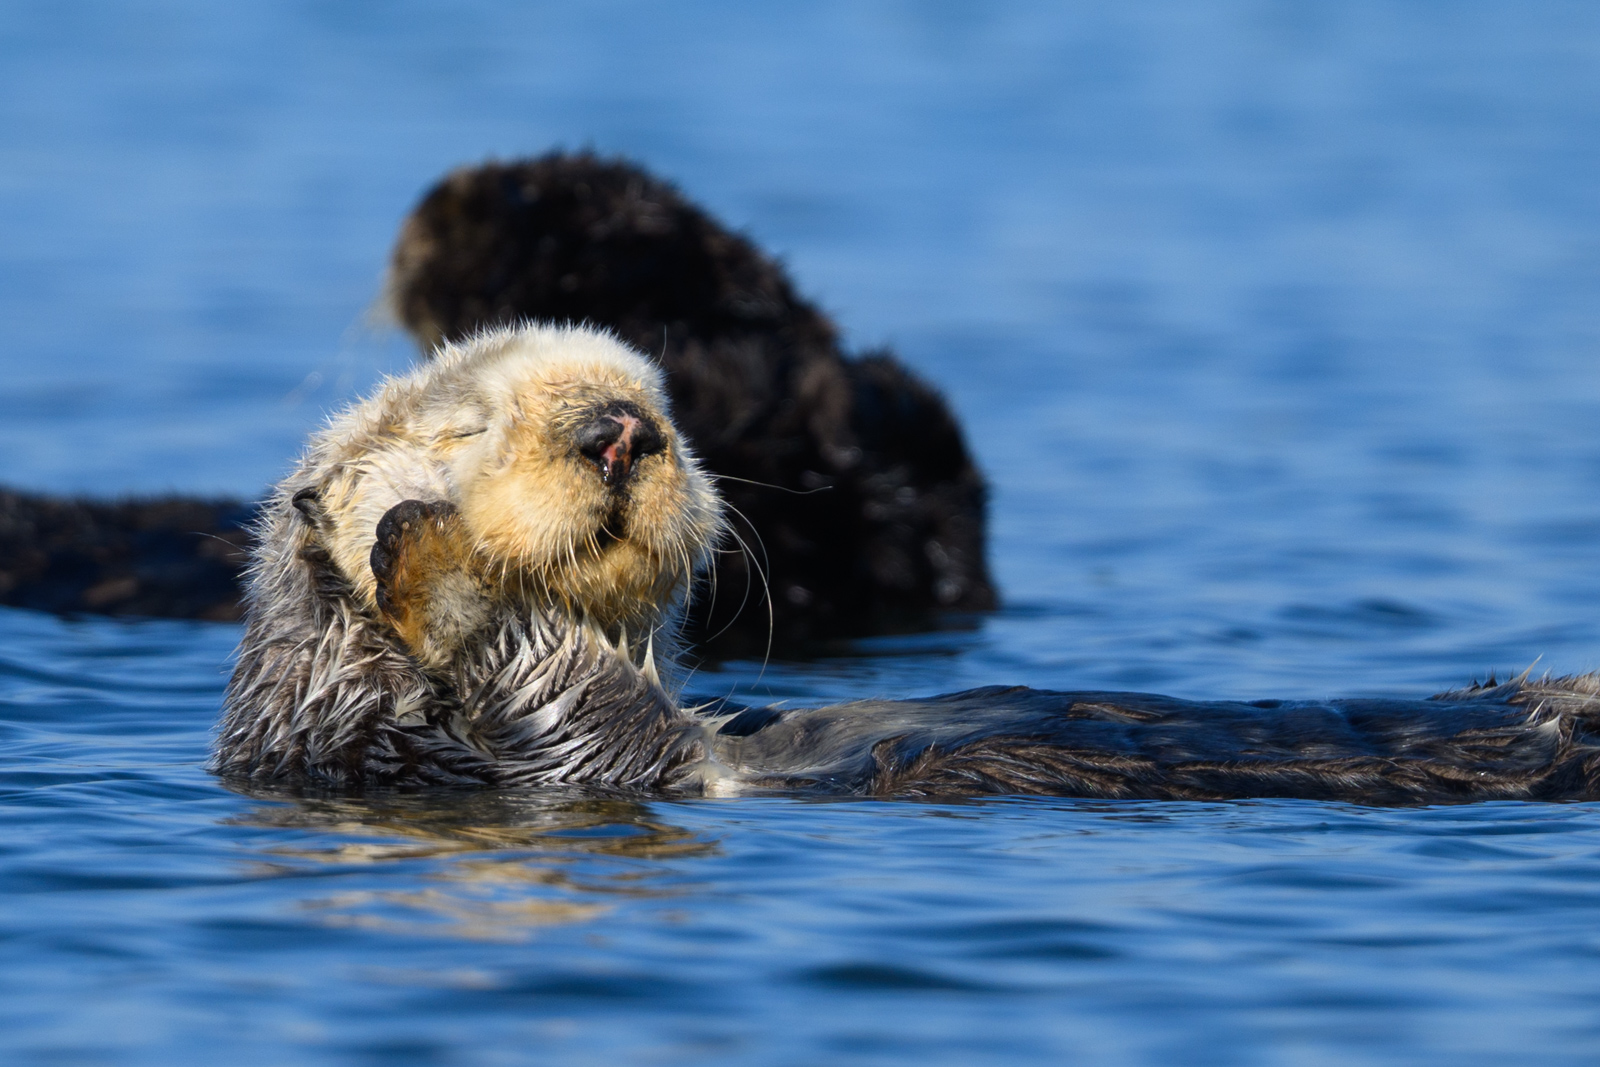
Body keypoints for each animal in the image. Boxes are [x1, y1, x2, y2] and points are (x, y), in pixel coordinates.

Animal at [214, 324, 1600, 803]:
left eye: (663, 406)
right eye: (461, 427)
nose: (617, 430)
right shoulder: (439, 746)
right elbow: (550, 689)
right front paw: (427, 556)